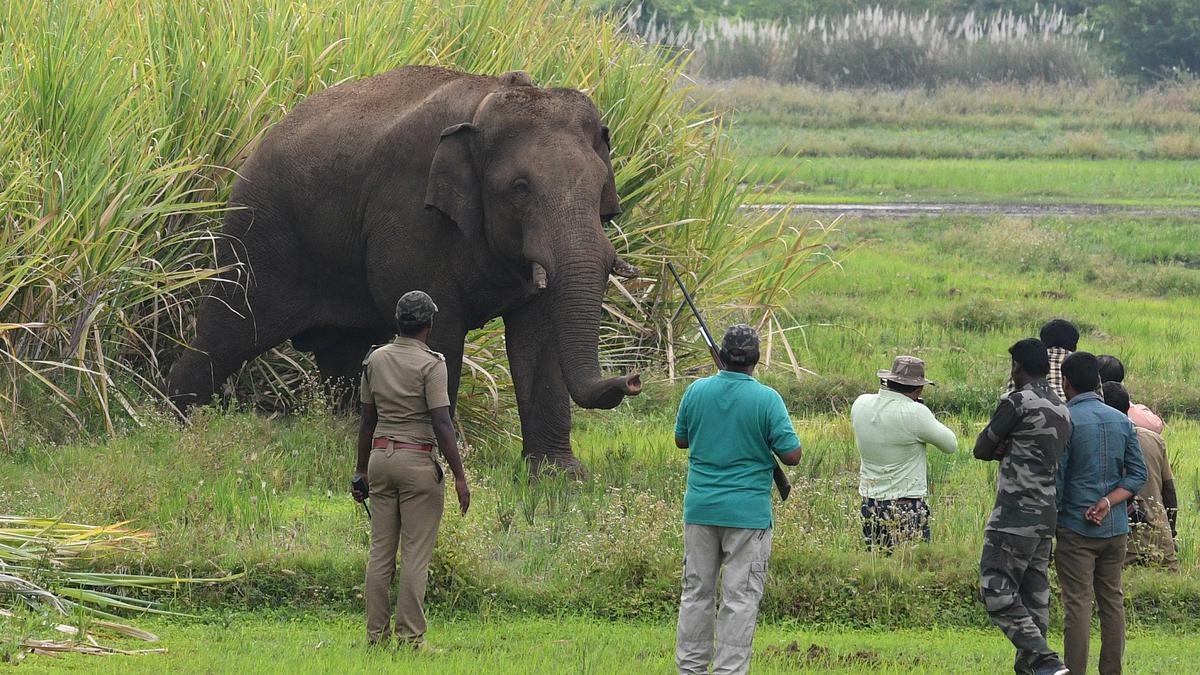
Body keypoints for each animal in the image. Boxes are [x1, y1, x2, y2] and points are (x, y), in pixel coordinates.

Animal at [166, 65, 648, 470]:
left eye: (600, 184)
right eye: (520, 187)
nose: (633, 379)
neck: (487, 99)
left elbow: (539, 334)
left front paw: (558, 478)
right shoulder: (410, 213)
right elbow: (439, 328)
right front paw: (446, 464)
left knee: (344, 356)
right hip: (260, 238)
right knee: (227, 334)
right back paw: (175, 428)